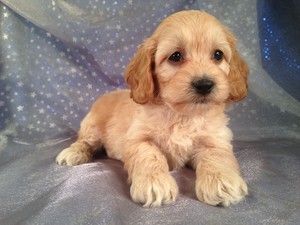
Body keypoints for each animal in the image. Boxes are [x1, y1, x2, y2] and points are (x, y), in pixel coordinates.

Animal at [55, 10, 248, 207]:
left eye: (218, 55)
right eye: (175, 56)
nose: (204, 84)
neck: (182, 115)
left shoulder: (216, 139)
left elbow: (216, 157)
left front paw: (222, 181)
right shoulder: (138, 139)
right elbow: (149, 155)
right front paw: (154, 183)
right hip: (92, 127)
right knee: (84, 142)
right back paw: (73, 153)